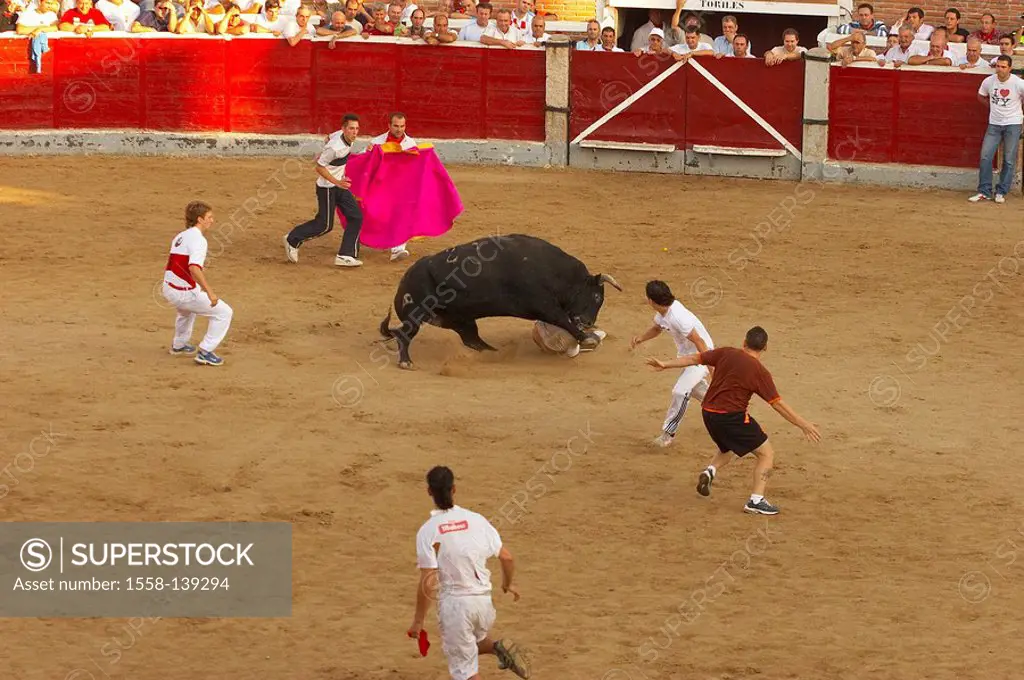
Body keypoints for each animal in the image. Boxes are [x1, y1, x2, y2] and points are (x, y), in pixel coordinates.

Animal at [380, 236, 622, 368]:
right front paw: (588, 338)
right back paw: (406, 362)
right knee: (403, 334)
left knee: (472, 339)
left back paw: (495, 352)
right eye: (597, 296)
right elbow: (564, 320)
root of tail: (406, 278)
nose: (589, 322)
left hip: (461, 320)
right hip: (416, 315)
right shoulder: (544, 305)